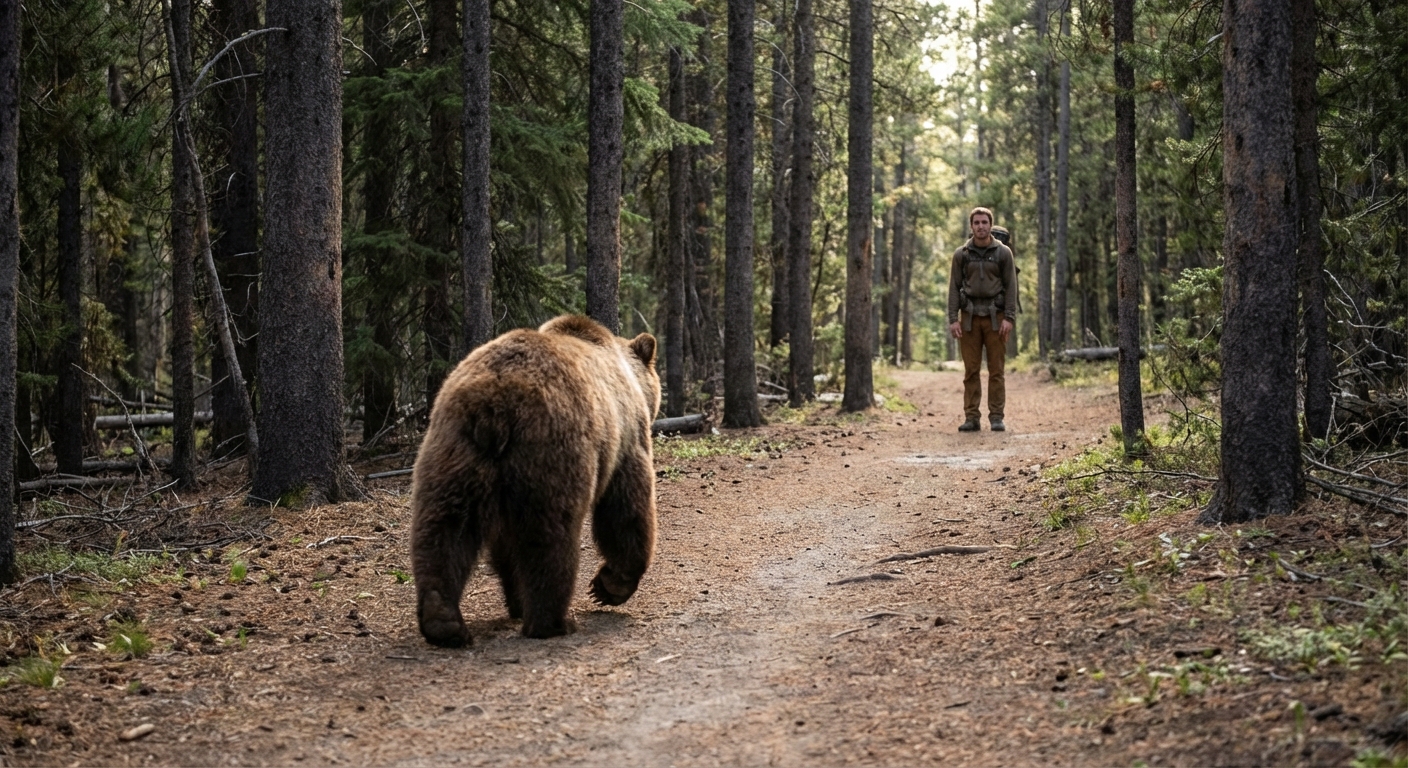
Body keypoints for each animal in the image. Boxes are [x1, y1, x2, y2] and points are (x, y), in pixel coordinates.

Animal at [409, 314, 661, 646]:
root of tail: (494, 399)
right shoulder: (626, 437)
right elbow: (627, 506)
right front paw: (611, 584)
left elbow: (503, 543)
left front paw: (517, 599)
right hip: (551, 451)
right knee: (549, 534)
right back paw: (554, 621)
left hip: (454, 450)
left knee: (444, 526)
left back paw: (444, 621)